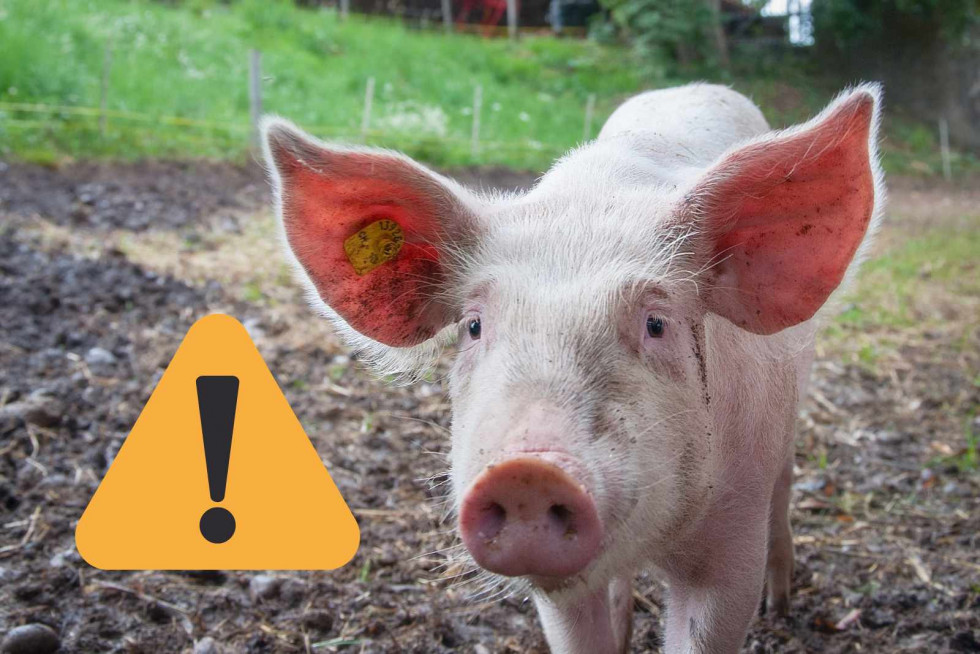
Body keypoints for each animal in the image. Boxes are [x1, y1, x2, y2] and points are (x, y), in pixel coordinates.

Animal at [261, 82, 884, 653]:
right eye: (474, 326)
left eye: (657, 324)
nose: (527, 473)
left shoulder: (733, 540)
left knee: (785, 485)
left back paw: (782, 605)